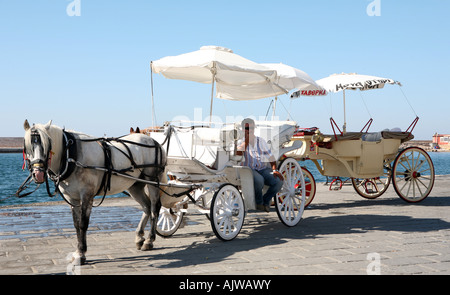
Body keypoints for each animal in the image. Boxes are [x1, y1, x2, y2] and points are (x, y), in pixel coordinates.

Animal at [23, 120, 167, 266]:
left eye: (47, 144)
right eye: (27, 146)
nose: (38, 174)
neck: (71, 155)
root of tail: (154, 141)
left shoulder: (87, 195)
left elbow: (83, 224)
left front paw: (81, 254)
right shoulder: (73, 198)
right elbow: (76, 224)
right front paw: (77, 251)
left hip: (152, 182)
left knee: (155, 209)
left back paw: (149, 240)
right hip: (135, 186)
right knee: (146, 207)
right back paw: (139, 237)